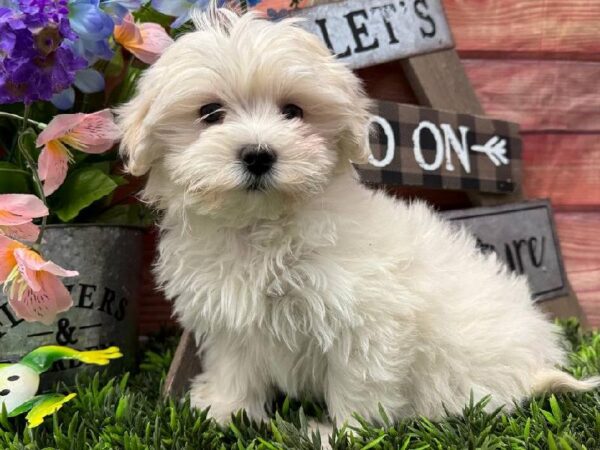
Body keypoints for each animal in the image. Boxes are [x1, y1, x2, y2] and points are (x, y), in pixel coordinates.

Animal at [116, 7, 596, 428]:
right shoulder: (230, 317)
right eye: (210, 113)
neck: (262, 226)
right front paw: (223, 411)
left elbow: (358, 385)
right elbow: (235, 367)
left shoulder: (365, 321)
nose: (258, 154)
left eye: (293, 111)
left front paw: (342, 433)